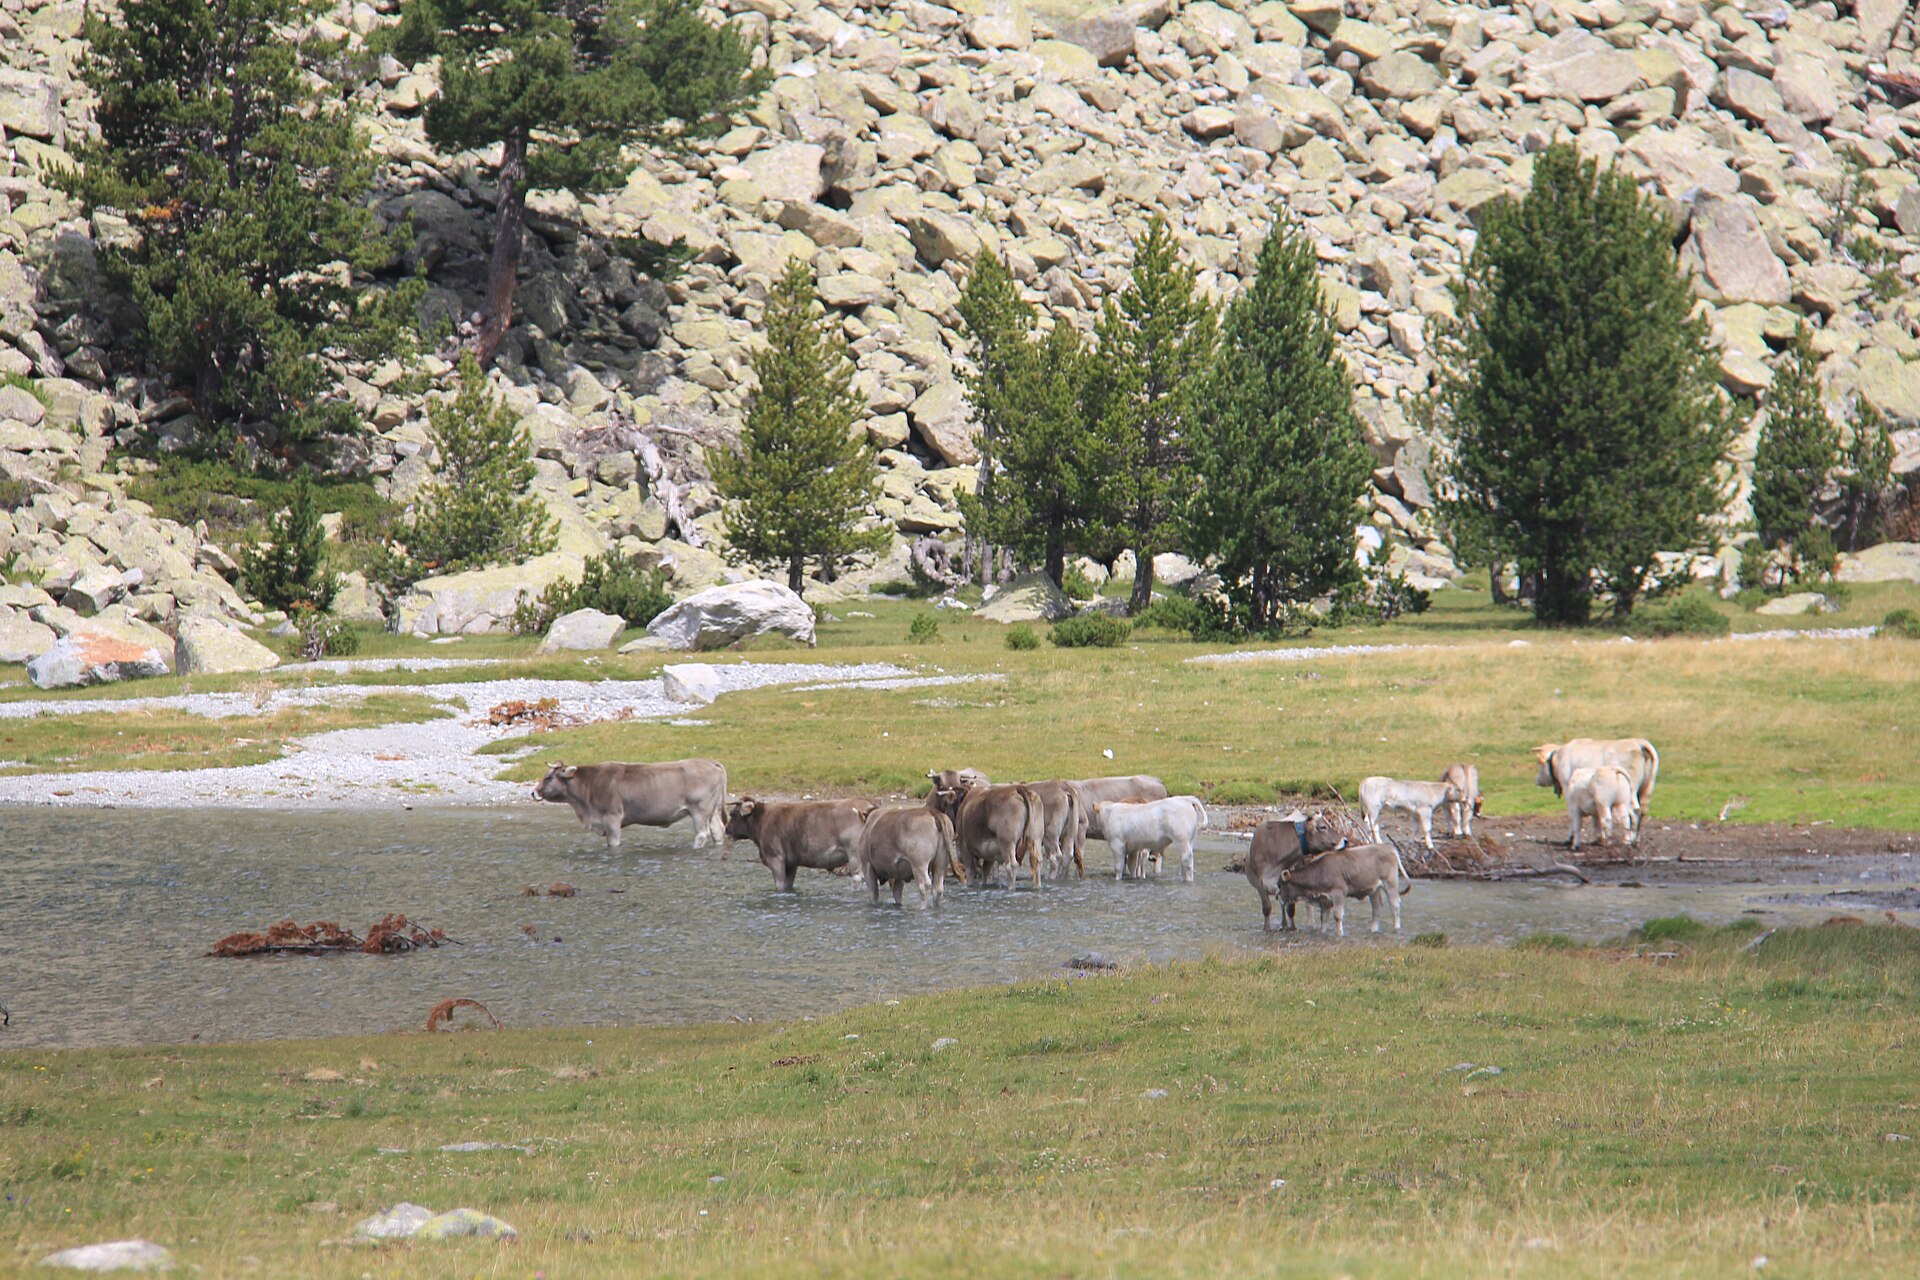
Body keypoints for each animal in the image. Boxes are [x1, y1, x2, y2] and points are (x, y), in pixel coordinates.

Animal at [533, 759, 727, 850]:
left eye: (548, 778)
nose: (533, 792)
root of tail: (709, 761)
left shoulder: (611, 818)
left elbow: (613, 843)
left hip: (700, 810)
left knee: (701, 834)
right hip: (713, 810)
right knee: (718, 830)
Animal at [723, 797, 876, 890]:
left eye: (732, 813)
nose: (726, 829)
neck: (762, 820)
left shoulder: (775, 859)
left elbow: (779, 885)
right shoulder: (791, 863)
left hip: (856, 856)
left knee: (859, 878)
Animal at [1278, 842, 1412, 937]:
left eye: (1280, 885)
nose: (1278, 898)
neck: (1320, 871)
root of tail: (1389, 847)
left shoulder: (1338, 893)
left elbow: (1337, 915)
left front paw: (1339, 934)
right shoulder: (1324, 899)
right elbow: (1324, 919)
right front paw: (1322, 933)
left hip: (1390, 884)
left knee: (1394, 906)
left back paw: (1396, 928)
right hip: (1374, 889)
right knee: (1377, 908)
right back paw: (1373, 930)